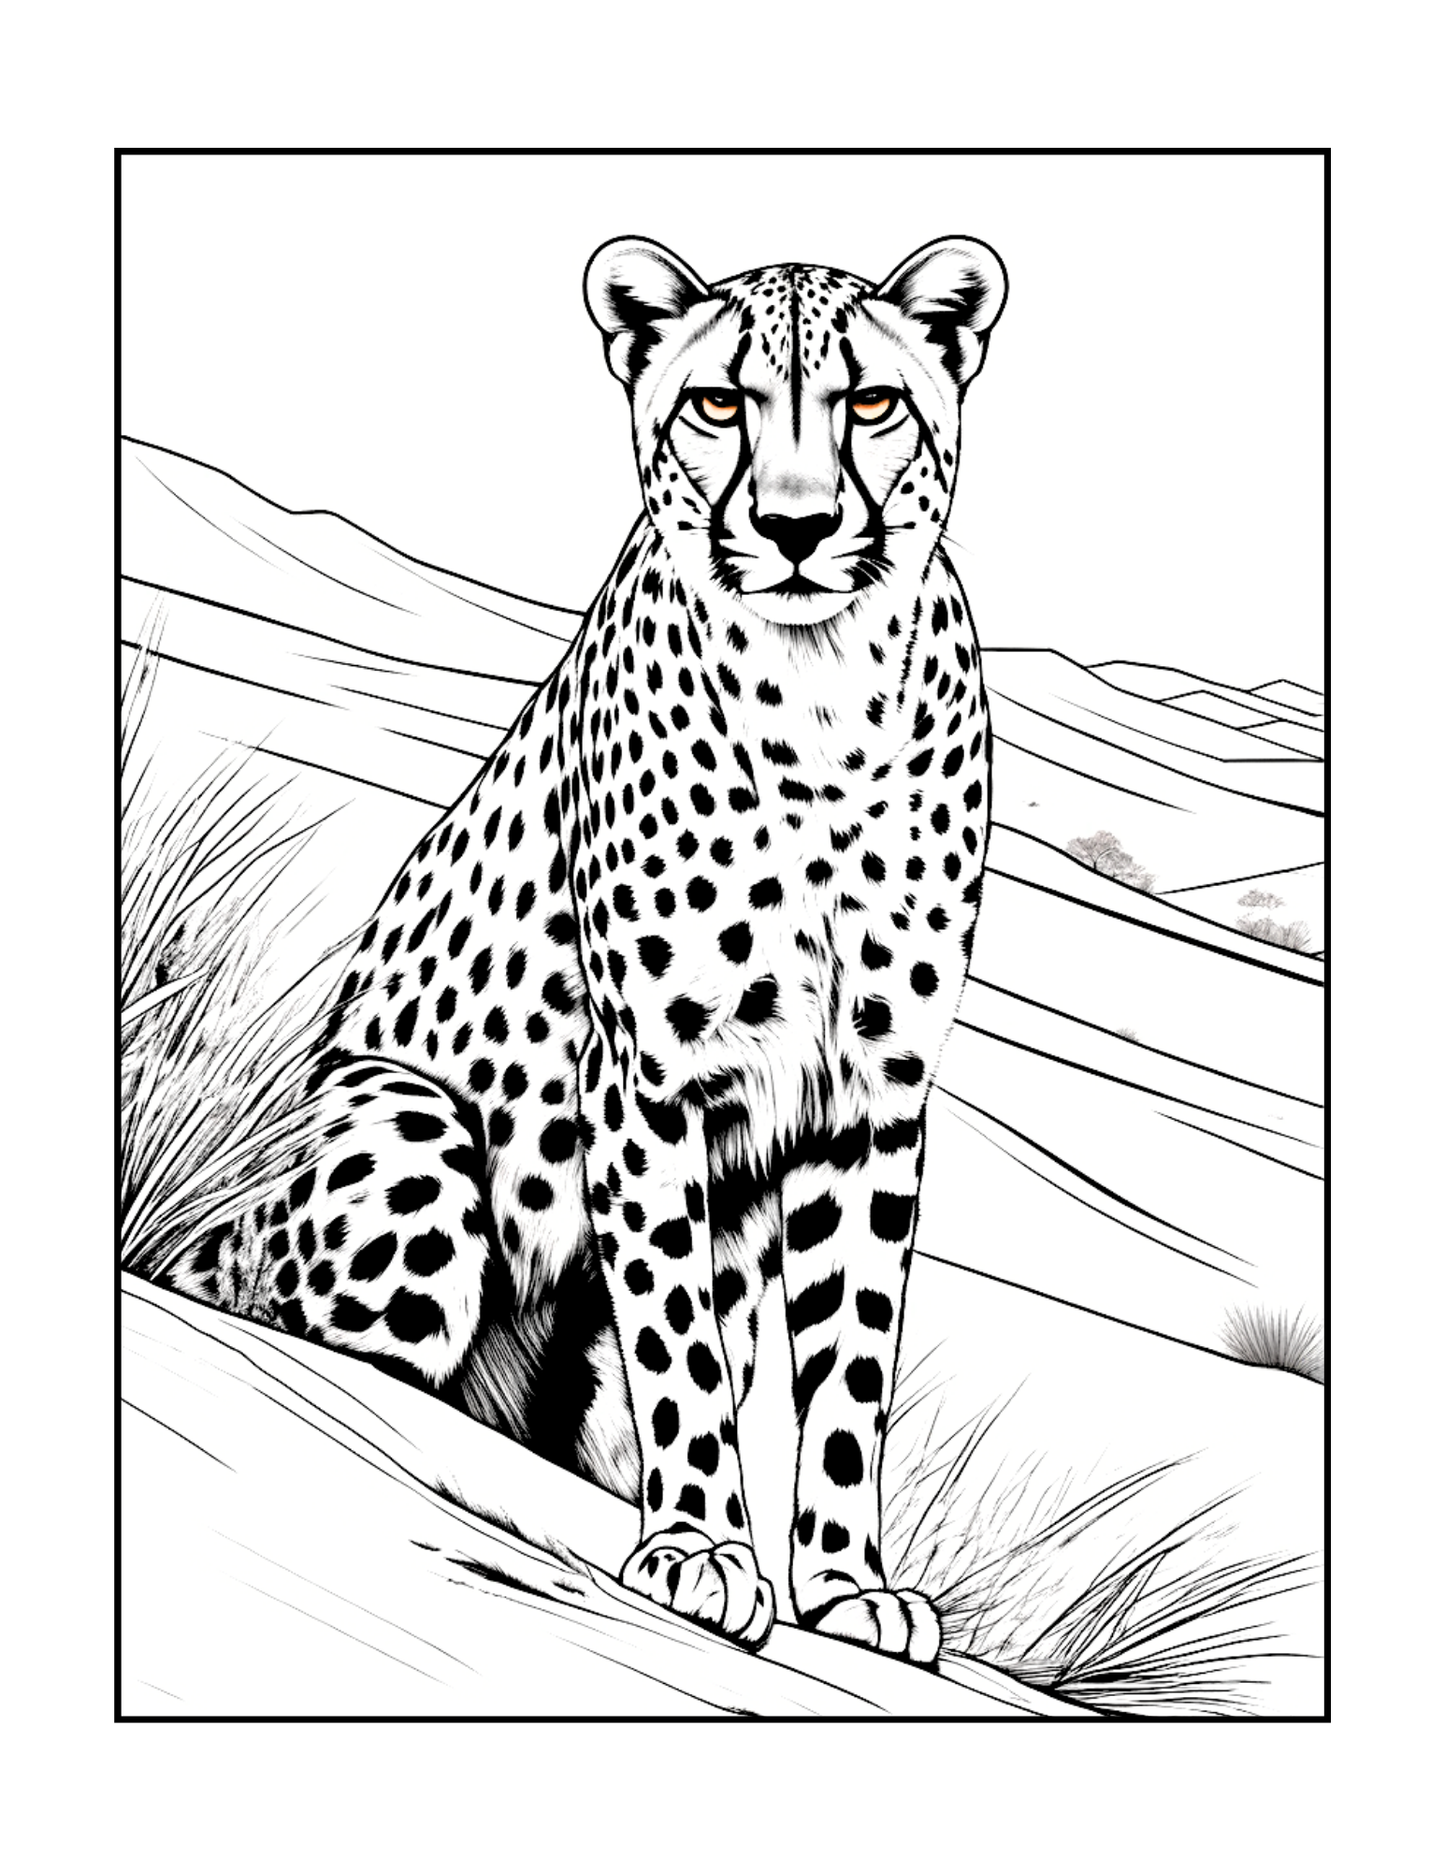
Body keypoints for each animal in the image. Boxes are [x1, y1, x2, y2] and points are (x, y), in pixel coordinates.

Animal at [170, 232, 1008, 1665]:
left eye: (870, 401)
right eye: (717, 402)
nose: (793, 530)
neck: (828, 691)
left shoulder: (871, 1102)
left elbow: (848, 1366)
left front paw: (844, 1584)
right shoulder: (651, 1078)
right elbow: (677, 1341)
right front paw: (702, 1551)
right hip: (405, 1130)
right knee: (354, 1347)